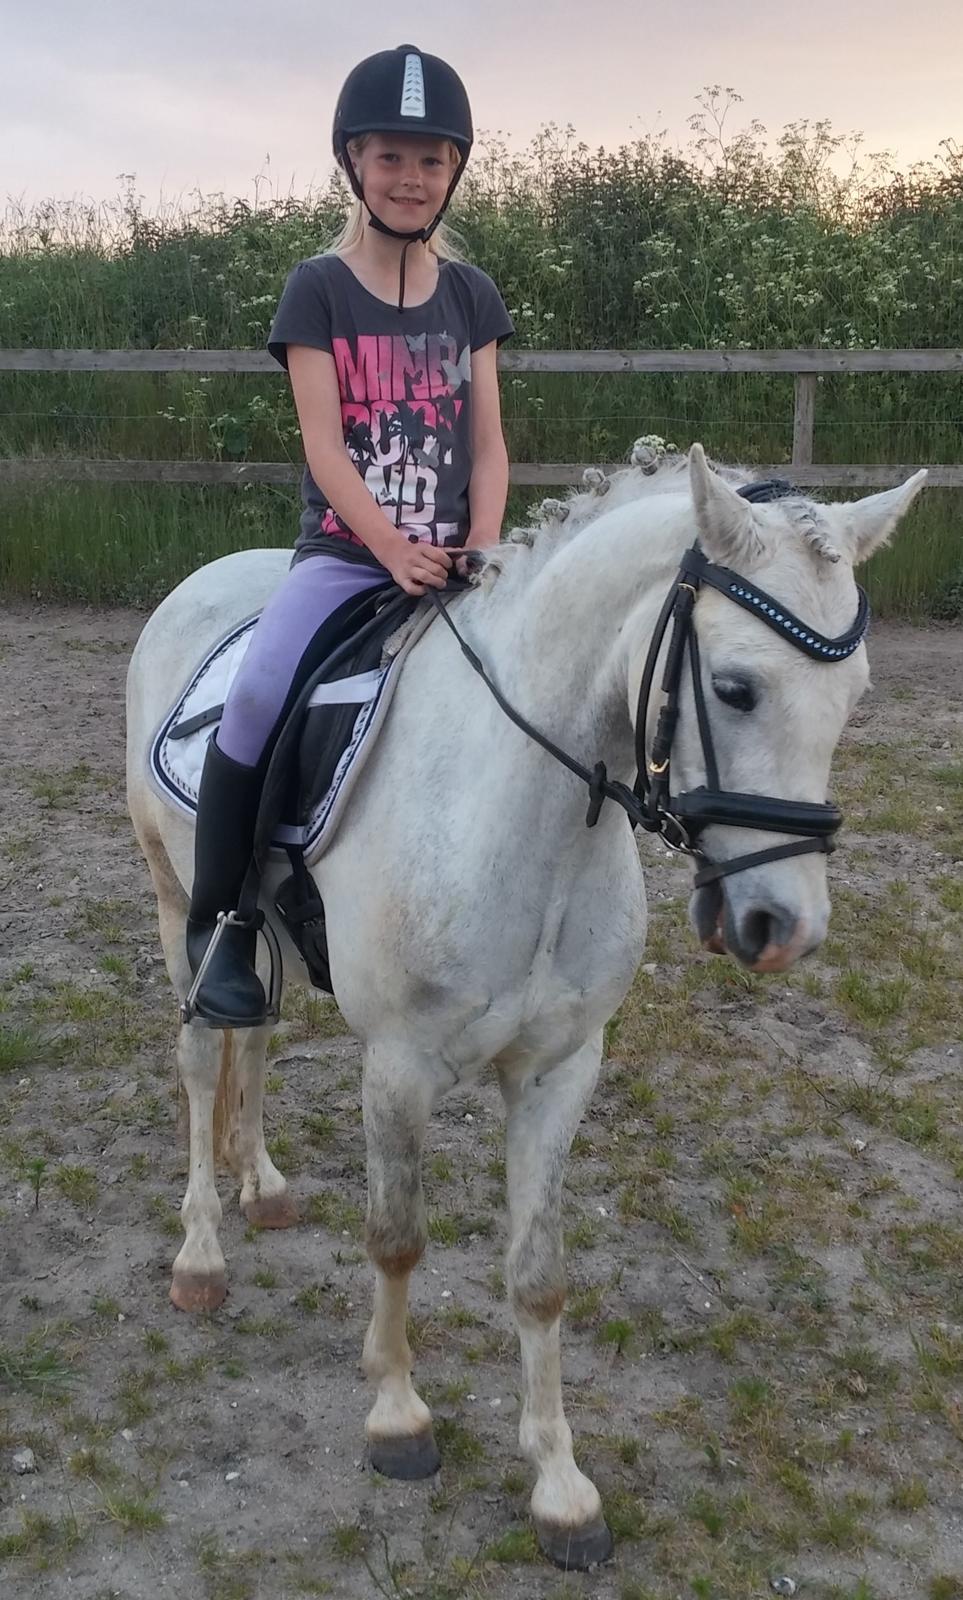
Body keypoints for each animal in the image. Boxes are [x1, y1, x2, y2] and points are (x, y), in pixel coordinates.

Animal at [125, 443, 924, 1569]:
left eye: (854, 694)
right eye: (736, 688)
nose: (785, 926)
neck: (522, 812)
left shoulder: (561, 1071)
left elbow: (539, 1275)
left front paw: (560, 1486)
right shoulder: (399, 1066)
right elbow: (397, 1237)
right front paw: (398, 1419)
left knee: (257, 1039)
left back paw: (262, 1180)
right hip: (176, 903)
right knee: (203, 1058)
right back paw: (200, 1250)